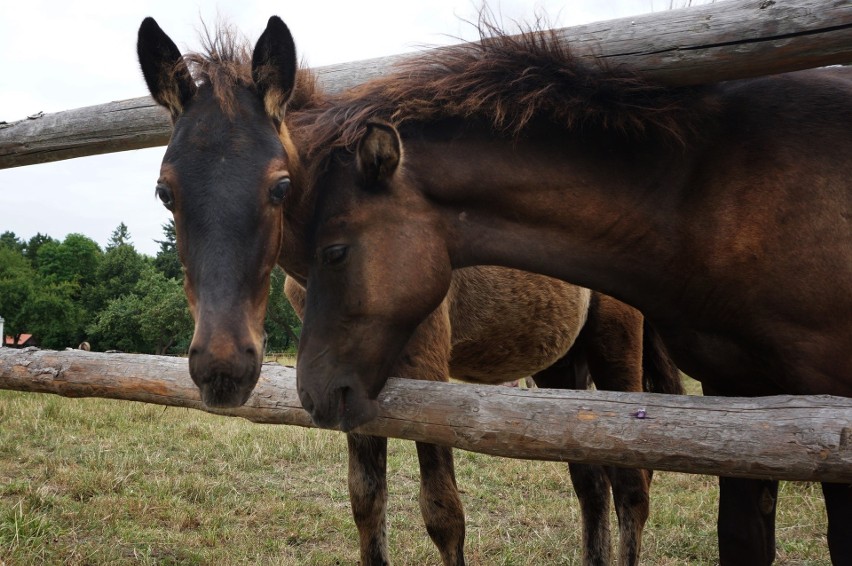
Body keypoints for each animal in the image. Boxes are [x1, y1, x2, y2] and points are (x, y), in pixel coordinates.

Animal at [136, 17, 684, 566]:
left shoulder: (426, 367)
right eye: (164, 192)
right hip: (560, 364)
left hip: (615, 347)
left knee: (632, 487)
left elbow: (443, 513)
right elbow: (366, 499)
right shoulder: (343, 378)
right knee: (590, 482)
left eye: (281, 186)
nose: (222, 369)